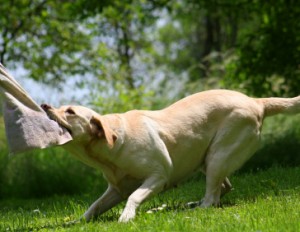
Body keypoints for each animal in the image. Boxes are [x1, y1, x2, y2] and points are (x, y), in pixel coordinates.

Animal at [40, 89, 300, 222]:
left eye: (70, 111)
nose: (44, 105)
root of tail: (256, 101)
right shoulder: (115, 190)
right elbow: (94, 206)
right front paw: (76, 222)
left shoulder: (157, 176)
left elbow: (134, 196)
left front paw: (126, 217)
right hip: (207, 160)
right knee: (221, 190)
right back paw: (179, 206)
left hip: (217, 156)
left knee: (211, 200)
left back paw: (187, 209)